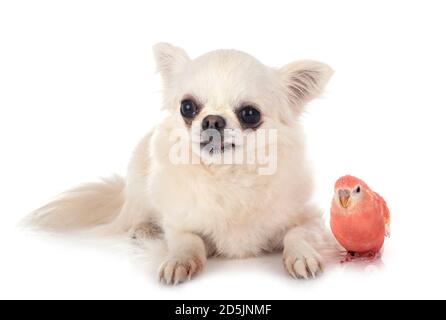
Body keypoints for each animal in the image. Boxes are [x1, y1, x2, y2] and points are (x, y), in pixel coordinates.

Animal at [28, 43, 334, 284]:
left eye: (250, 114)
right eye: (188, 107)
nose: (212, 120)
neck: (228, 175)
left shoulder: (309, 218)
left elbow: (297, 235)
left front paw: (302, 257)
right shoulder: (179, 225)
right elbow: (189, 241)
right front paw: (179, 262)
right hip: (139, 184)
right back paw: (143, 229)